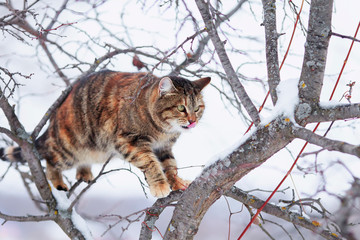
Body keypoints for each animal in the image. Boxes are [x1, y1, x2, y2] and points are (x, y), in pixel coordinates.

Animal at [0, 70, 210, 198]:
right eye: (181, 108)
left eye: (198, 108)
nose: (193, 121)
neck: (164, 131)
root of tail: (53, 121)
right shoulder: (129, 142)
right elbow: (151, 163)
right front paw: (160, 185)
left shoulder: (164, 147)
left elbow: (170, 165)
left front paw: (176, 181)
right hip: (68, 151)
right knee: (51, 161)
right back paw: (58, 182)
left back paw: (84, 172)